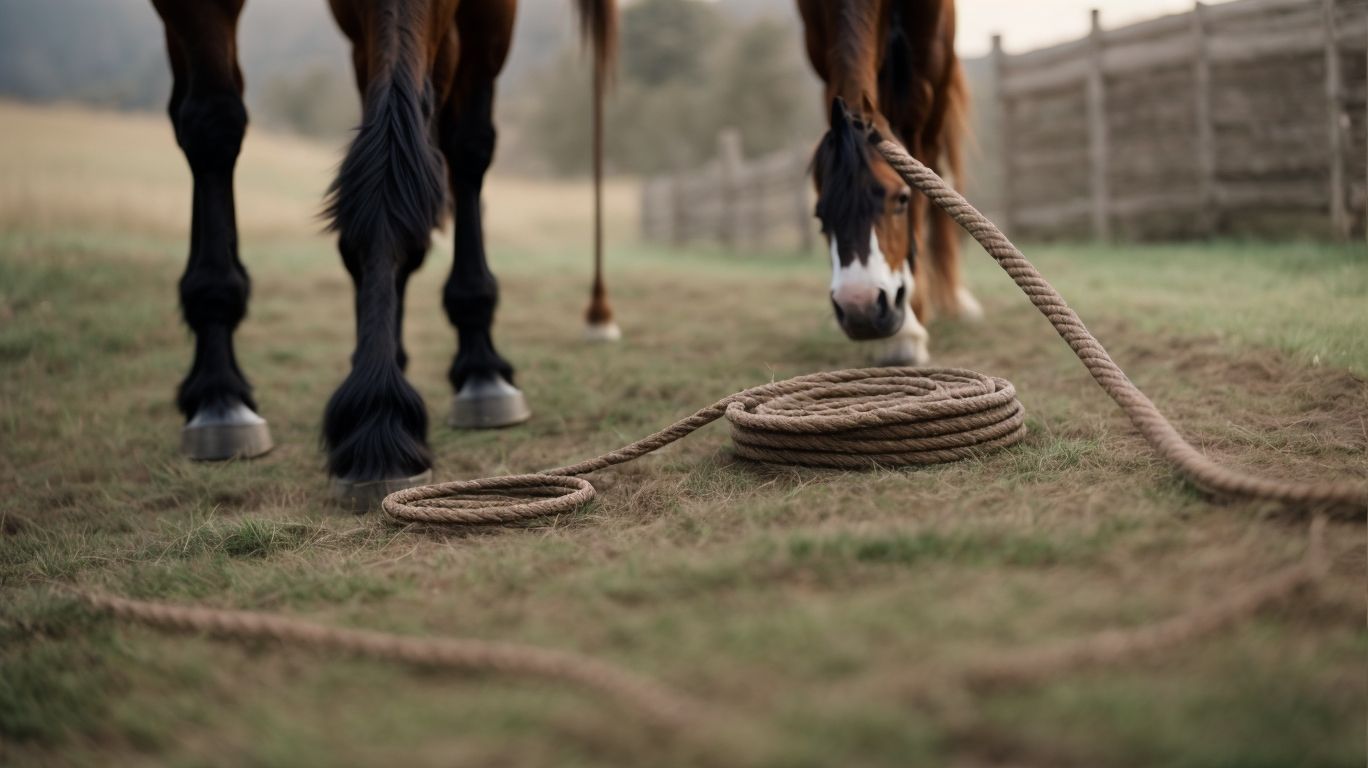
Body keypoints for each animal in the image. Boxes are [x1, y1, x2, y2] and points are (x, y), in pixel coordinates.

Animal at [150, 0, 616, 503]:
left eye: (410, 246)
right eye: (349, 249)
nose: (377, 419)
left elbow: (464, 144)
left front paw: (423, 394)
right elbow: (213, 125)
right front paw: (220, 395)